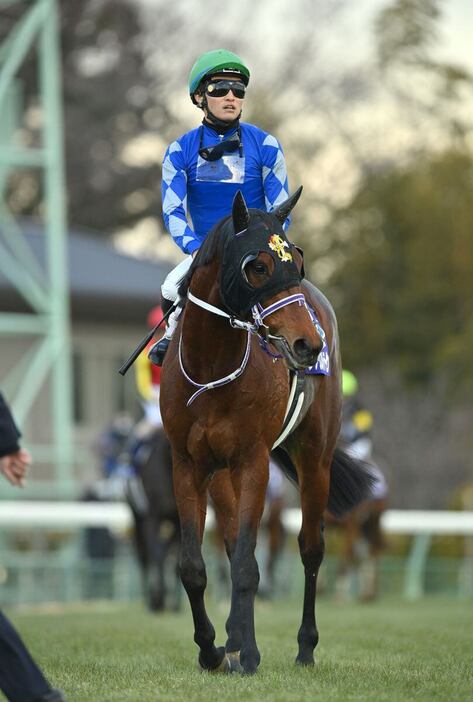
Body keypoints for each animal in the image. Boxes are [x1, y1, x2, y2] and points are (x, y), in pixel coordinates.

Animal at [160, 188, 374, 676]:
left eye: (298, 261)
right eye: (256, 266)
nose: (308, 344)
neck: (211, 368)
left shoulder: (252, 460)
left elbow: (247, 565)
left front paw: (250, 654)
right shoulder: (188, 464)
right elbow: (195, 566)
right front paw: (212, 649)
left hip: (315, 456)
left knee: (310, 547)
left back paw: (305, 647)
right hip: (222, 475)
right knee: (232, 544)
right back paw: (234, 641)